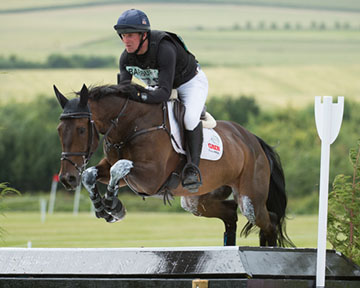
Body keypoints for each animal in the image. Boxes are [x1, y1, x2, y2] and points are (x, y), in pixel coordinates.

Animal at [54, 82, 296, 246]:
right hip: (197, 201)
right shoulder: (119, 171)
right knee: (230, 213)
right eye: (59, 130)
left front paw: (113, 206)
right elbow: (92, 174)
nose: (67, 179)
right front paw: (103, 208)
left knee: (269, 220)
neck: (130, 125)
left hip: (250, 198)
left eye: (81, 129)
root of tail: (253, 141)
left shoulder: (151, 178)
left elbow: (118, 167)